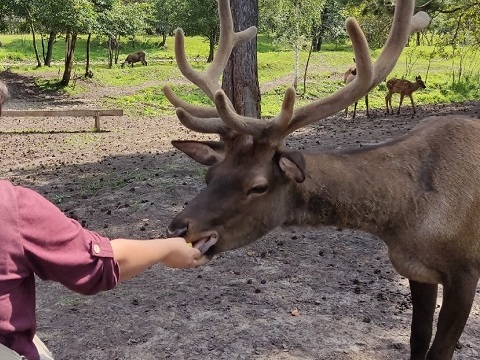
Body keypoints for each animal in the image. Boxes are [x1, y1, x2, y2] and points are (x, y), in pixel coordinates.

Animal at [162, 1, 480, 358]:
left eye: (258, 186)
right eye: (209, 175)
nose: (177, 228)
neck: (404, 219)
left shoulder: (465, 271)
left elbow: (440, 349)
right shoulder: (417, 270)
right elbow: (418, 338)